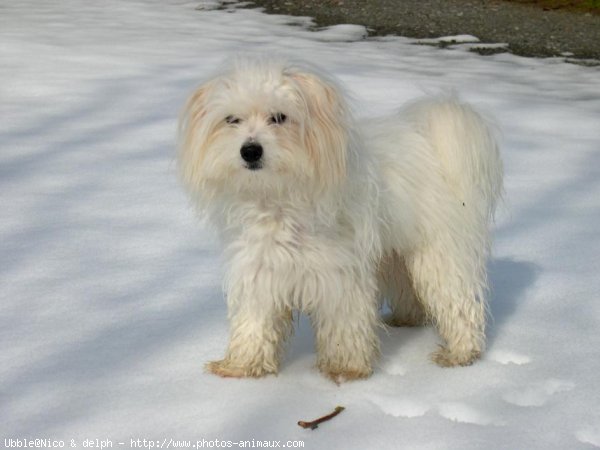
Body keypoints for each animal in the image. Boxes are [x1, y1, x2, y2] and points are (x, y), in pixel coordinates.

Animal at [177, 54, 502, 382]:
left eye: (279, 117)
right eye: (232, 119)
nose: (250, 150)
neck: (279, 197)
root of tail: (430, 135)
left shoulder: (340, 272)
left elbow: (344, 322)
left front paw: (345, 368)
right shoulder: (259, 268)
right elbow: (254, 322)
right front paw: (241, 365)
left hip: (440, 252)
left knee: (456, 300)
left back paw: (461, 352)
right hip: (396, 250)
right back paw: (406, 318)